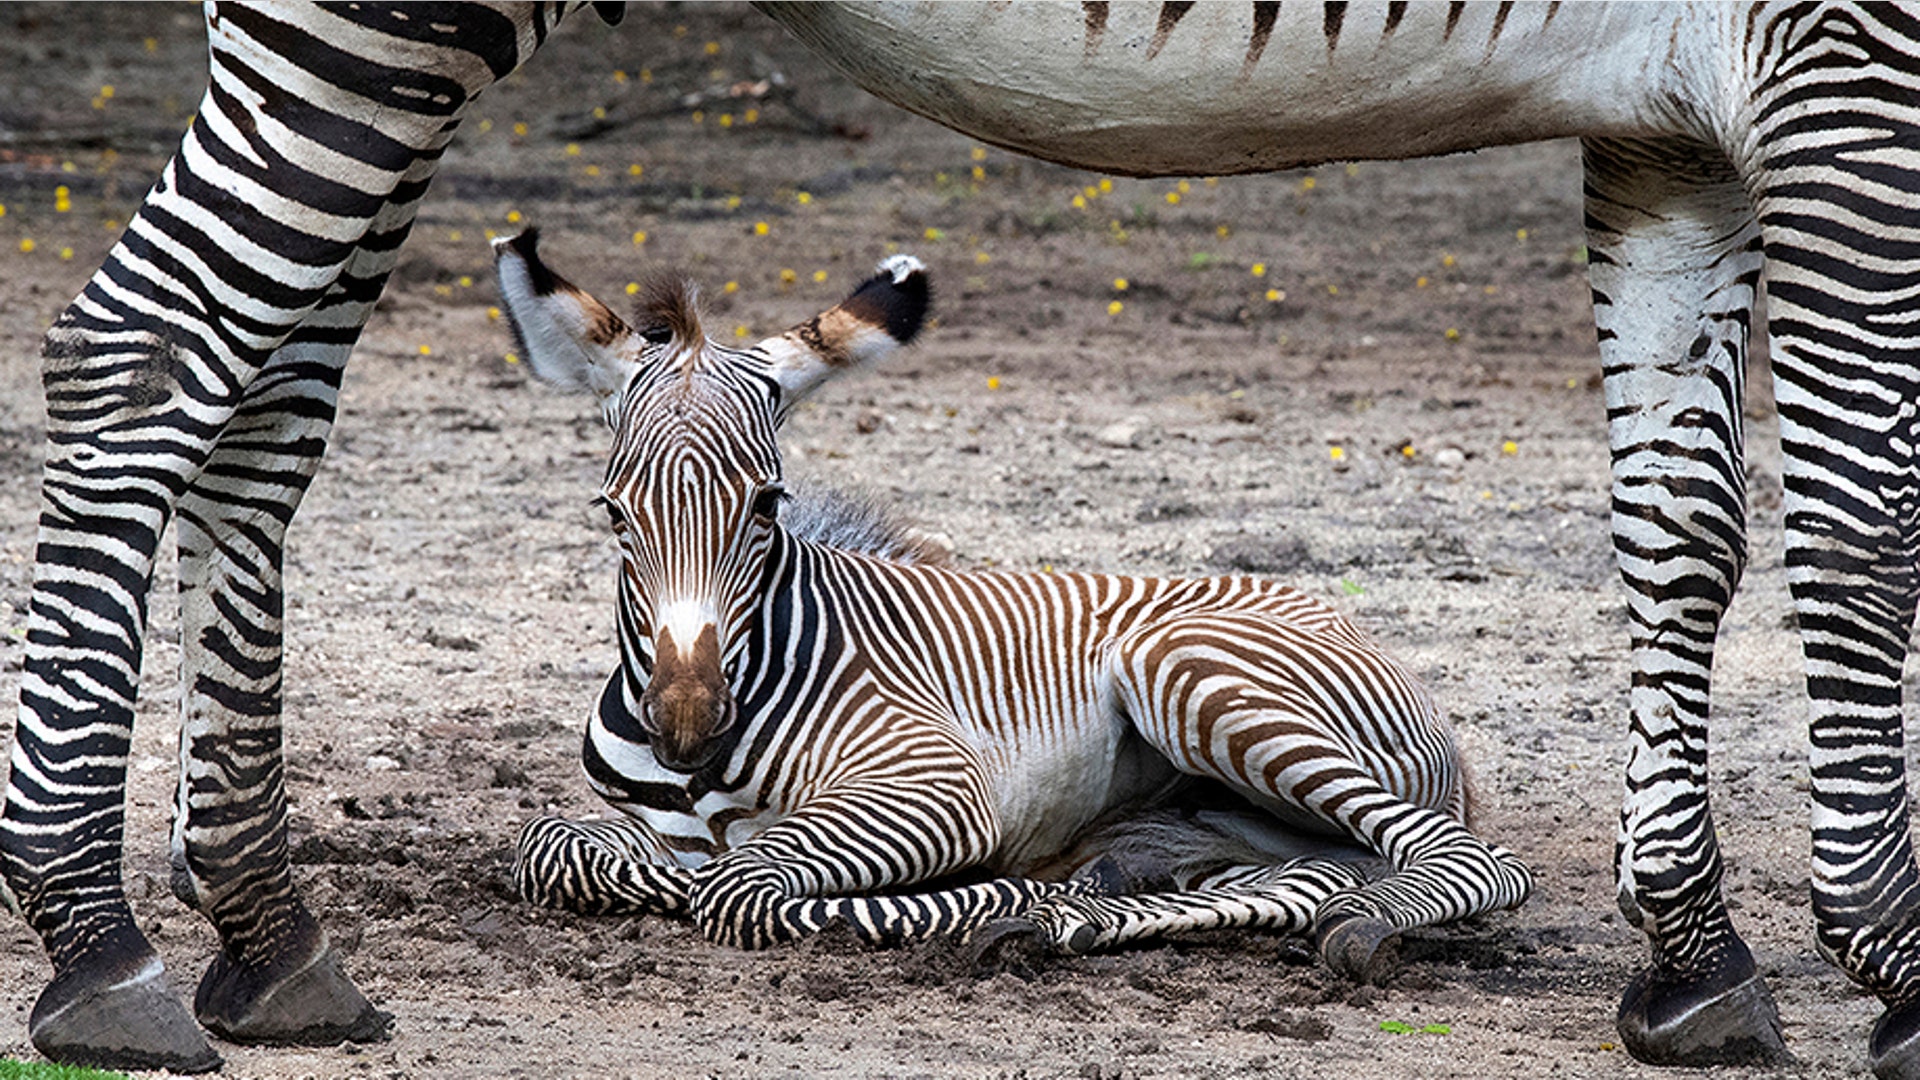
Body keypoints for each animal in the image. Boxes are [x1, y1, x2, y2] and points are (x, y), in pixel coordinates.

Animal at [493, 229, 1534, 968]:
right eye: (614, 511)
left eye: (767, 503)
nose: (685, 722)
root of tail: (1346, 619)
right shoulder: (632, 823)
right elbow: (549, 845)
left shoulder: (937, 785)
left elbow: (738, 886)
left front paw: (991, 892)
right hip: (1245, 821)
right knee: (1317, 874)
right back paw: (1080, 913)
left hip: (1186, 665)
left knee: (1468, 860)